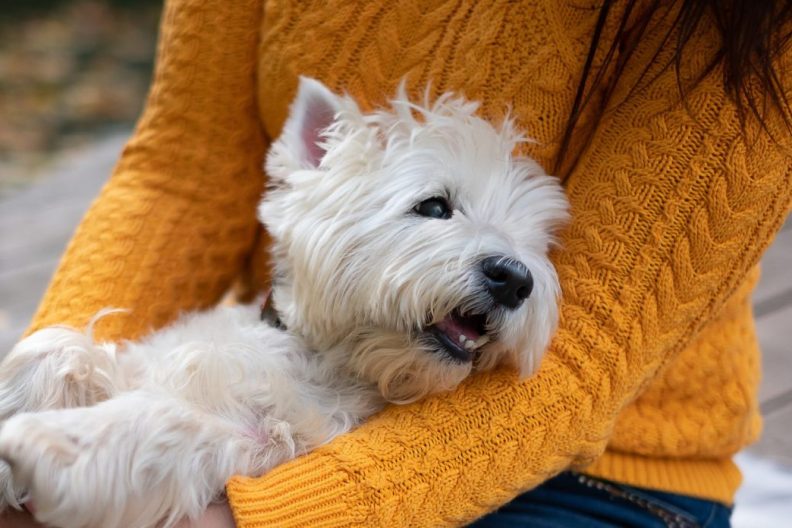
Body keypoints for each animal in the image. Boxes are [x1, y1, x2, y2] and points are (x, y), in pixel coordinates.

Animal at [0, 78, 568, 528]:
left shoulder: (257, 444)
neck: (317, 354)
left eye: (534, 245)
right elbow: (56, 346)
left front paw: (49, 441)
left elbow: (168, 421)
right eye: (433, 206)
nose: (514, 279)